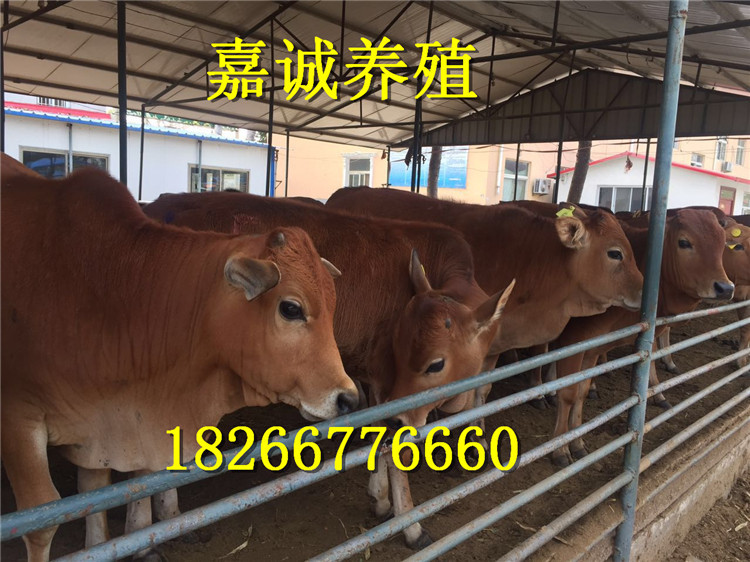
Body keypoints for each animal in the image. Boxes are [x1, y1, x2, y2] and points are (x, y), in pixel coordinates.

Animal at [1, 156, 359, 562]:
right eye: (291, 308)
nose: (347, 398)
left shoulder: (108, 427)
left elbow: (108, 495)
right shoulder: (17, 418)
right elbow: (42, 521)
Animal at [143, 191, 514, 549]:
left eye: (436, 363)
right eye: (398, 347)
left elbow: (378, 434)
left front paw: (379, 498)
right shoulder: (387, 382)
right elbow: (395, 448)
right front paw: (410, 525)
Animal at [551, 209, 733, 466]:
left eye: (723, 242)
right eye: (684, 242)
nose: (725, 288)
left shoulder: (593, 348)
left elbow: (581, 392)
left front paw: (577, 442)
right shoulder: (572, 342)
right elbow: (568, 394)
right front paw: (560, 448)